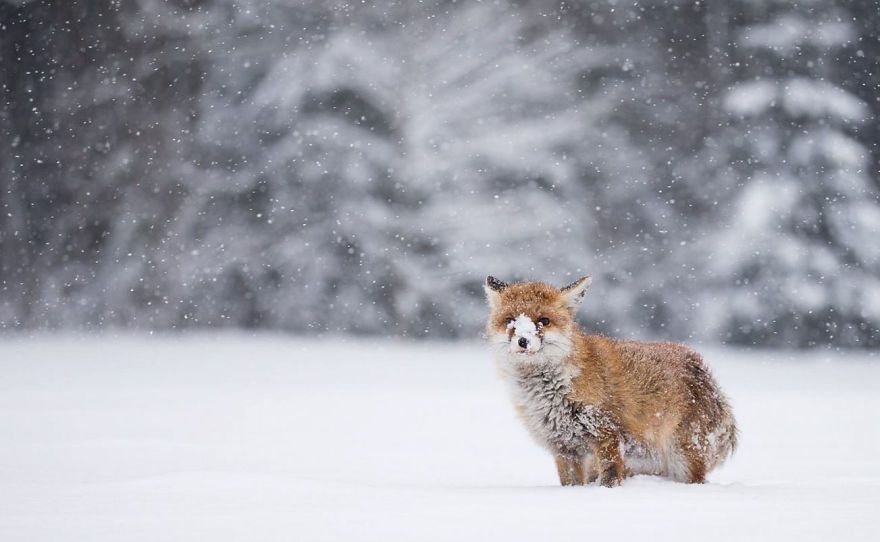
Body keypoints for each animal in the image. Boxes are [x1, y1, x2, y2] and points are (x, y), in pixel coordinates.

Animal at [484, 275, 737, 487]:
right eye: (510, 320)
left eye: (544, 320)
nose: (523, 341)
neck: (551, 392)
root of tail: (702, 370)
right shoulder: (564, 447)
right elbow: (571, 484)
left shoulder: (607, 434)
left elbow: (610, 477)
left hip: (683, 459)